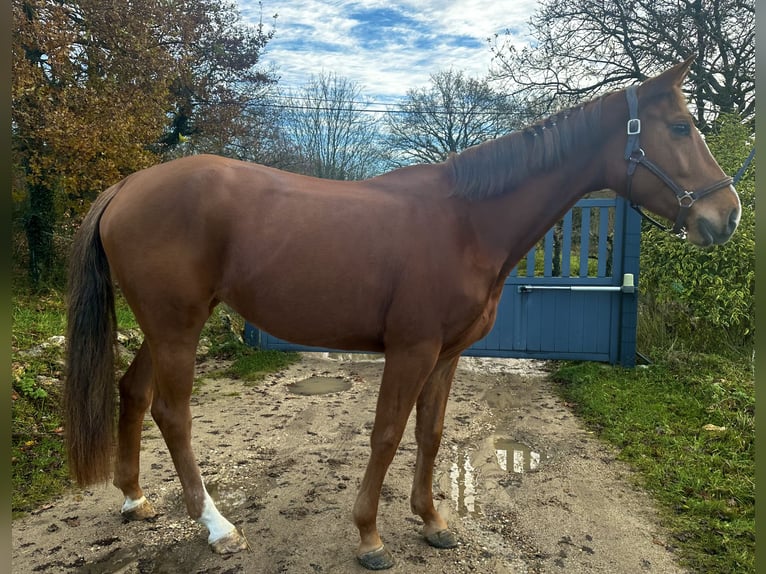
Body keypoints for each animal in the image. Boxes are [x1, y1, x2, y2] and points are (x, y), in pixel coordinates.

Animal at [67, 58, 744, 572]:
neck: (466, 222)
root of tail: (127, 187)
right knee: (173, 414)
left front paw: (433, 520)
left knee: (133, 392)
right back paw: (216, 525)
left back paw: (134, 499)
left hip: (167, 326)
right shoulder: (411, 349)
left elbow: (430, 433)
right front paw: (370, 535)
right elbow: (387, 434)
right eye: (680, 127)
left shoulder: (446, 354)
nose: (728, 216)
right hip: (178, 327)